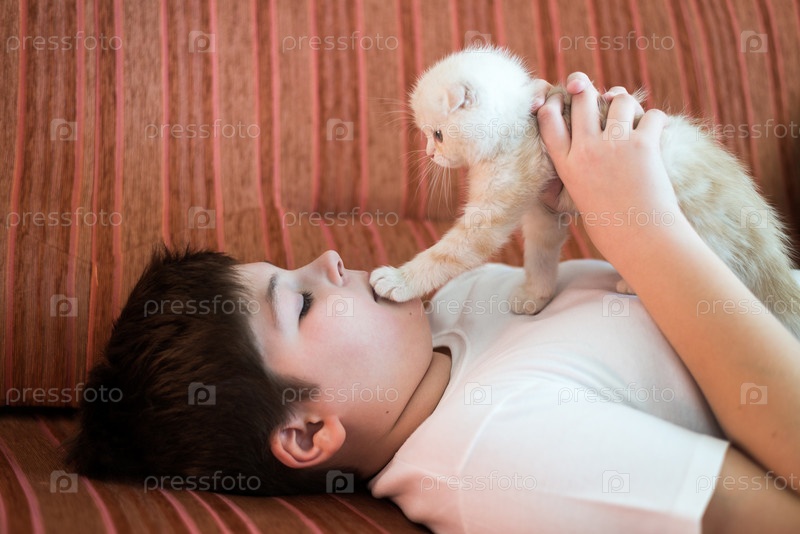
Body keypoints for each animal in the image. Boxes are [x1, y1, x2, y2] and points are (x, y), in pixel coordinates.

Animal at [369, 46, 800, 338]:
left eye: (438, 135)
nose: (429, 153)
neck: (516, 123)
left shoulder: (501, 197)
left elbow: (452, 251)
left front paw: (400, 280)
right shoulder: (543, 209)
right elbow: (540, 255)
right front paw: (537, 295)